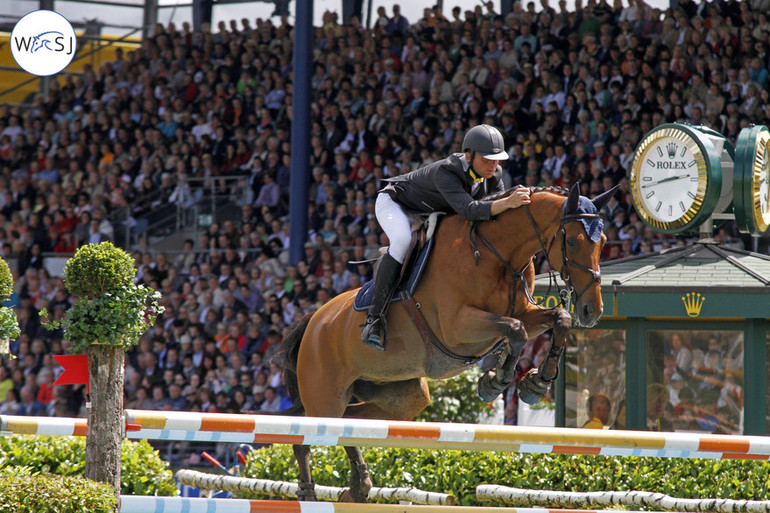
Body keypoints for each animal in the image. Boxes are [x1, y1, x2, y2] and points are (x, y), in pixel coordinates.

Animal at [276, 182, 612, 502]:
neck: (496, 253)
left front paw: (535, 383)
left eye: (604, 242)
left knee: (349, 424)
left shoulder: (523, 313)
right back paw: (308, 490)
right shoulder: (458, 328)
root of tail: (313, 322)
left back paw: (359, 486)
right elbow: (515, 330)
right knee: (308, 434)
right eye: (572, 241)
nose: (592, 310)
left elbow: (558, 319)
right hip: (326, 397)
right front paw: (496, 381)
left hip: (401, 397)